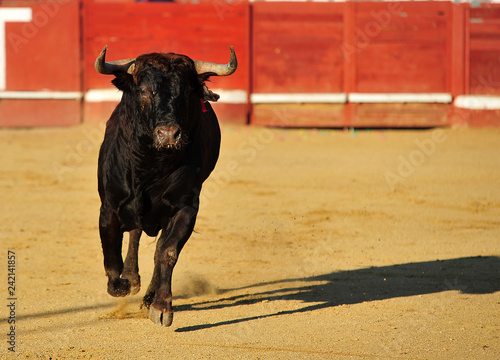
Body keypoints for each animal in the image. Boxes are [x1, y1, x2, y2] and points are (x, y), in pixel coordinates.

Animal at [95, 45, 236, 326]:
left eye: (186, 91)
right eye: (143, 90)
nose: (169, 134)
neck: (151, 164)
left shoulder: (185, 209)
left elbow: (167, 252)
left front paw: (161, 306)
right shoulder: (109, 207)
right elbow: (111, 252)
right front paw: (122, 284)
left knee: (156, 246)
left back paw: (147, 297)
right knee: (135, 234)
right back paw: (132, 279)